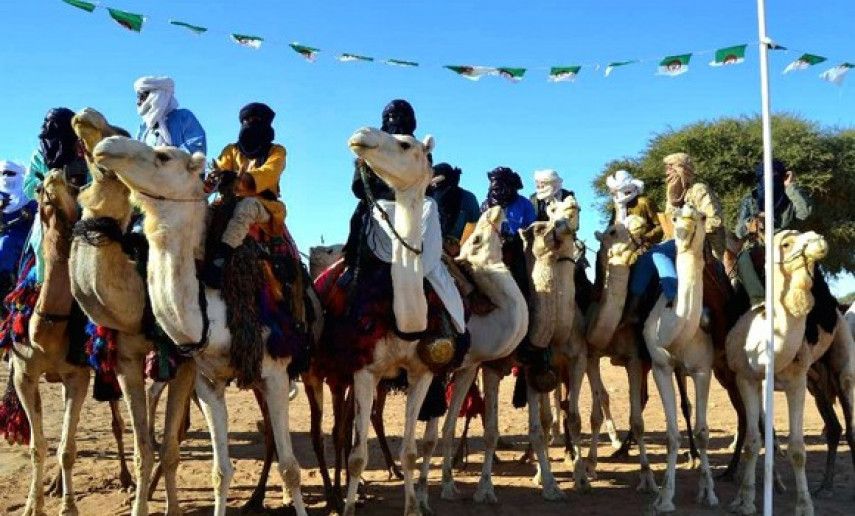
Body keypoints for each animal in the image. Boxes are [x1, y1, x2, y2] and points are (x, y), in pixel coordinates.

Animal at [69, 107, 196, 512]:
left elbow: (170, 449)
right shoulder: (125, 357)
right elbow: (144, 449)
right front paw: (141, 504)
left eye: (122, 130)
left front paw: (172, 508)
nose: (86, 115)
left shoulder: (187, 360)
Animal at [94, 136, 308, 516]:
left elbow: (291, 468)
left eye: (163, 156)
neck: (212, 310)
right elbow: (220, 472)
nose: (107, 145)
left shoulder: (275, 374)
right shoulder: (208, 382)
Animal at [724, 231, 832, 516]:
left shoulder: (797, 382)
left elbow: (798, 448)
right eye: (786, 244)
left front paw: (805, 505)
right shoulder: (746, 379)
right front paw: (746, 500)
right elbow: (752, 442)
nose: (818, 240)